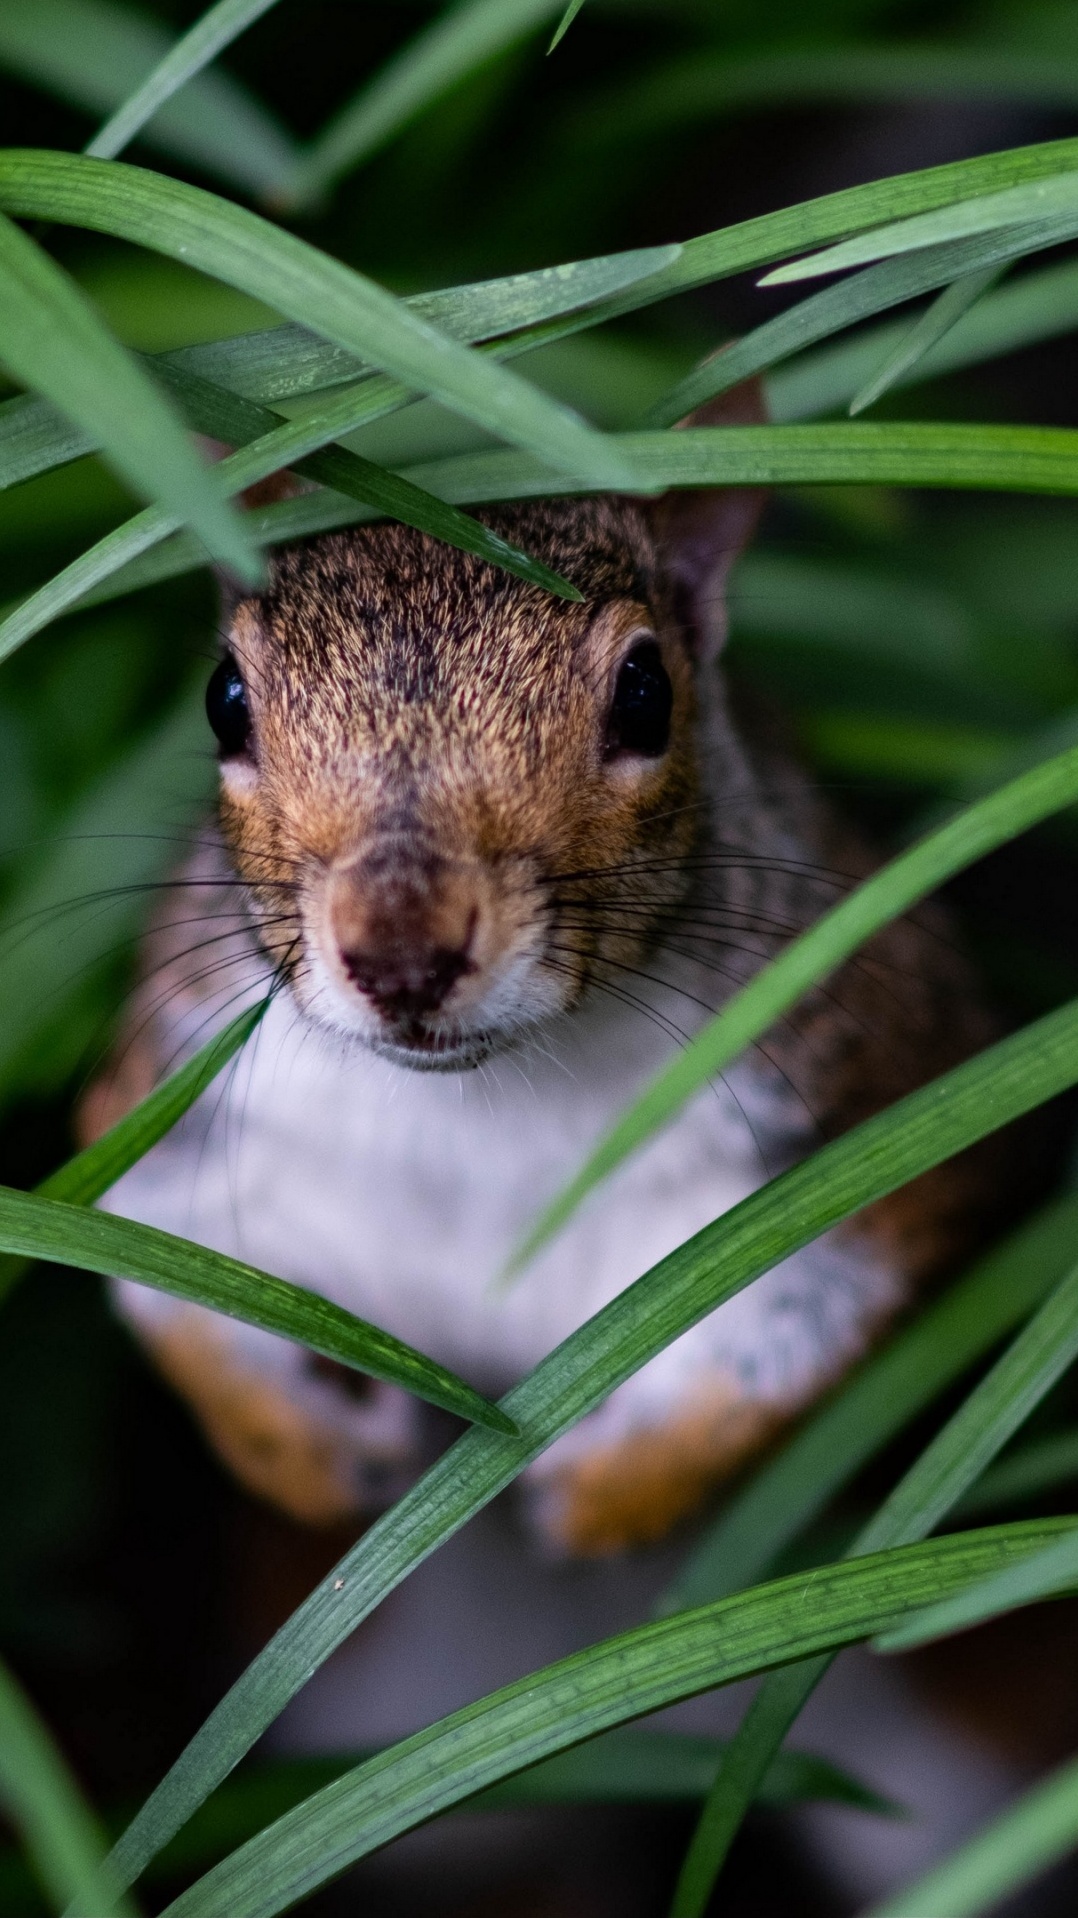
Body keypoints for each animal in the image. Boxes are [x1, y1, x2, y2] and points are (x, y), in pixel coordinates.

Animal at [79, 389, 1005, 1557]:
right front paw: (308, 1454)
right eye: (224, 698)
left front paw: (603, 1492)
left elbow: (793, 1354)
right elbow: (170, 1299)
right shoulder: (174, 1109)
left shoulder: (877, 1105)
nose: (403, 954)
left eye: (647, 692)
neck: (477, 1112)